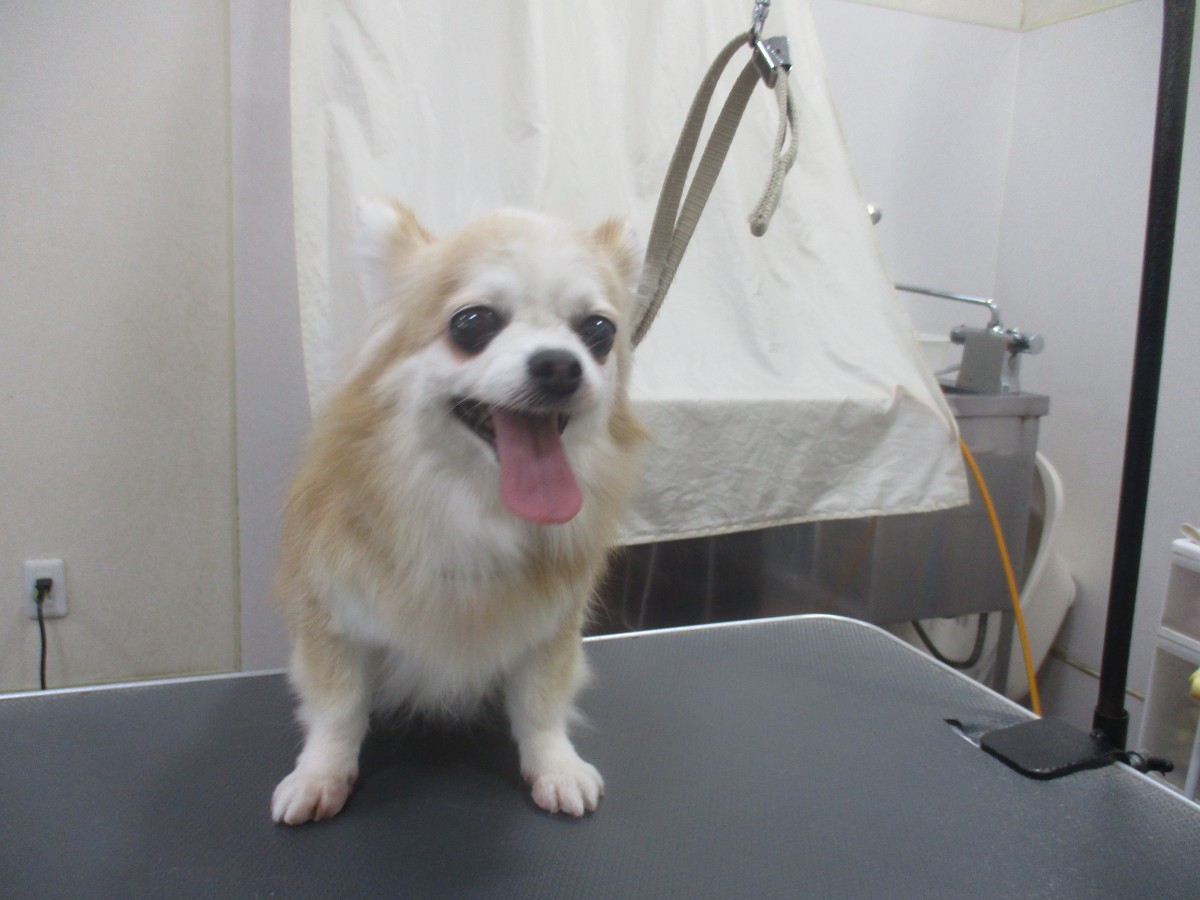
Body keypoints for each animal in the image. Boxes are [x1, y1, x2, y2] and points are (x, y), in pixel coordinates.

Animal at [270, 200, 645, 824]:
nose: (560, 366)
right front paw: (320, 775)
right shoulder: (332, 618)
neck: (472, 507)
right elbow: (338, 708)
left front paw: (556, 767)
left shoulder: (550, 627)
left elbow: (541, 704)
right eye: (472, 324)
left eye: (599, 332)